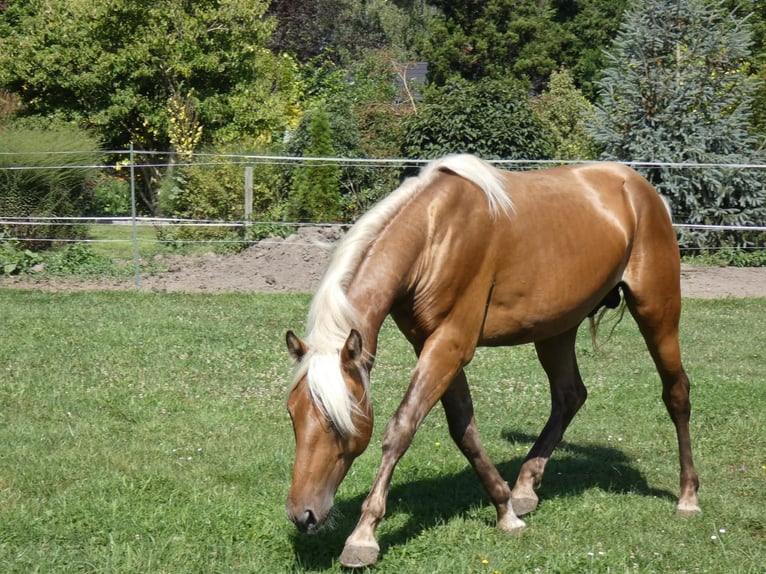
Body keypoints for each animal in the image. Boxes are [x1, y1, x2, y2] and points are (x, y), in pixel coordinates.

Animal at [284, 154, 700, 568]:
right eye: (292, 414)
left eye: (339, 420)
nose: (302, 514)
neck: (434, 234)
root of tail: (643, 190)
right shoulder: (432, 346)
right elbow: (464, 430)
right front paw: (505, 510)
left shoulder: (449, 345)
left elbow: (401, 428)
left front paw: (363, 536)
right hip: (556, 329)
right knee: (570, 396)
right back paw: (525, 488)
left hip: (657, 311)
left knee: (676, 392)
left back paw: (688, 496)